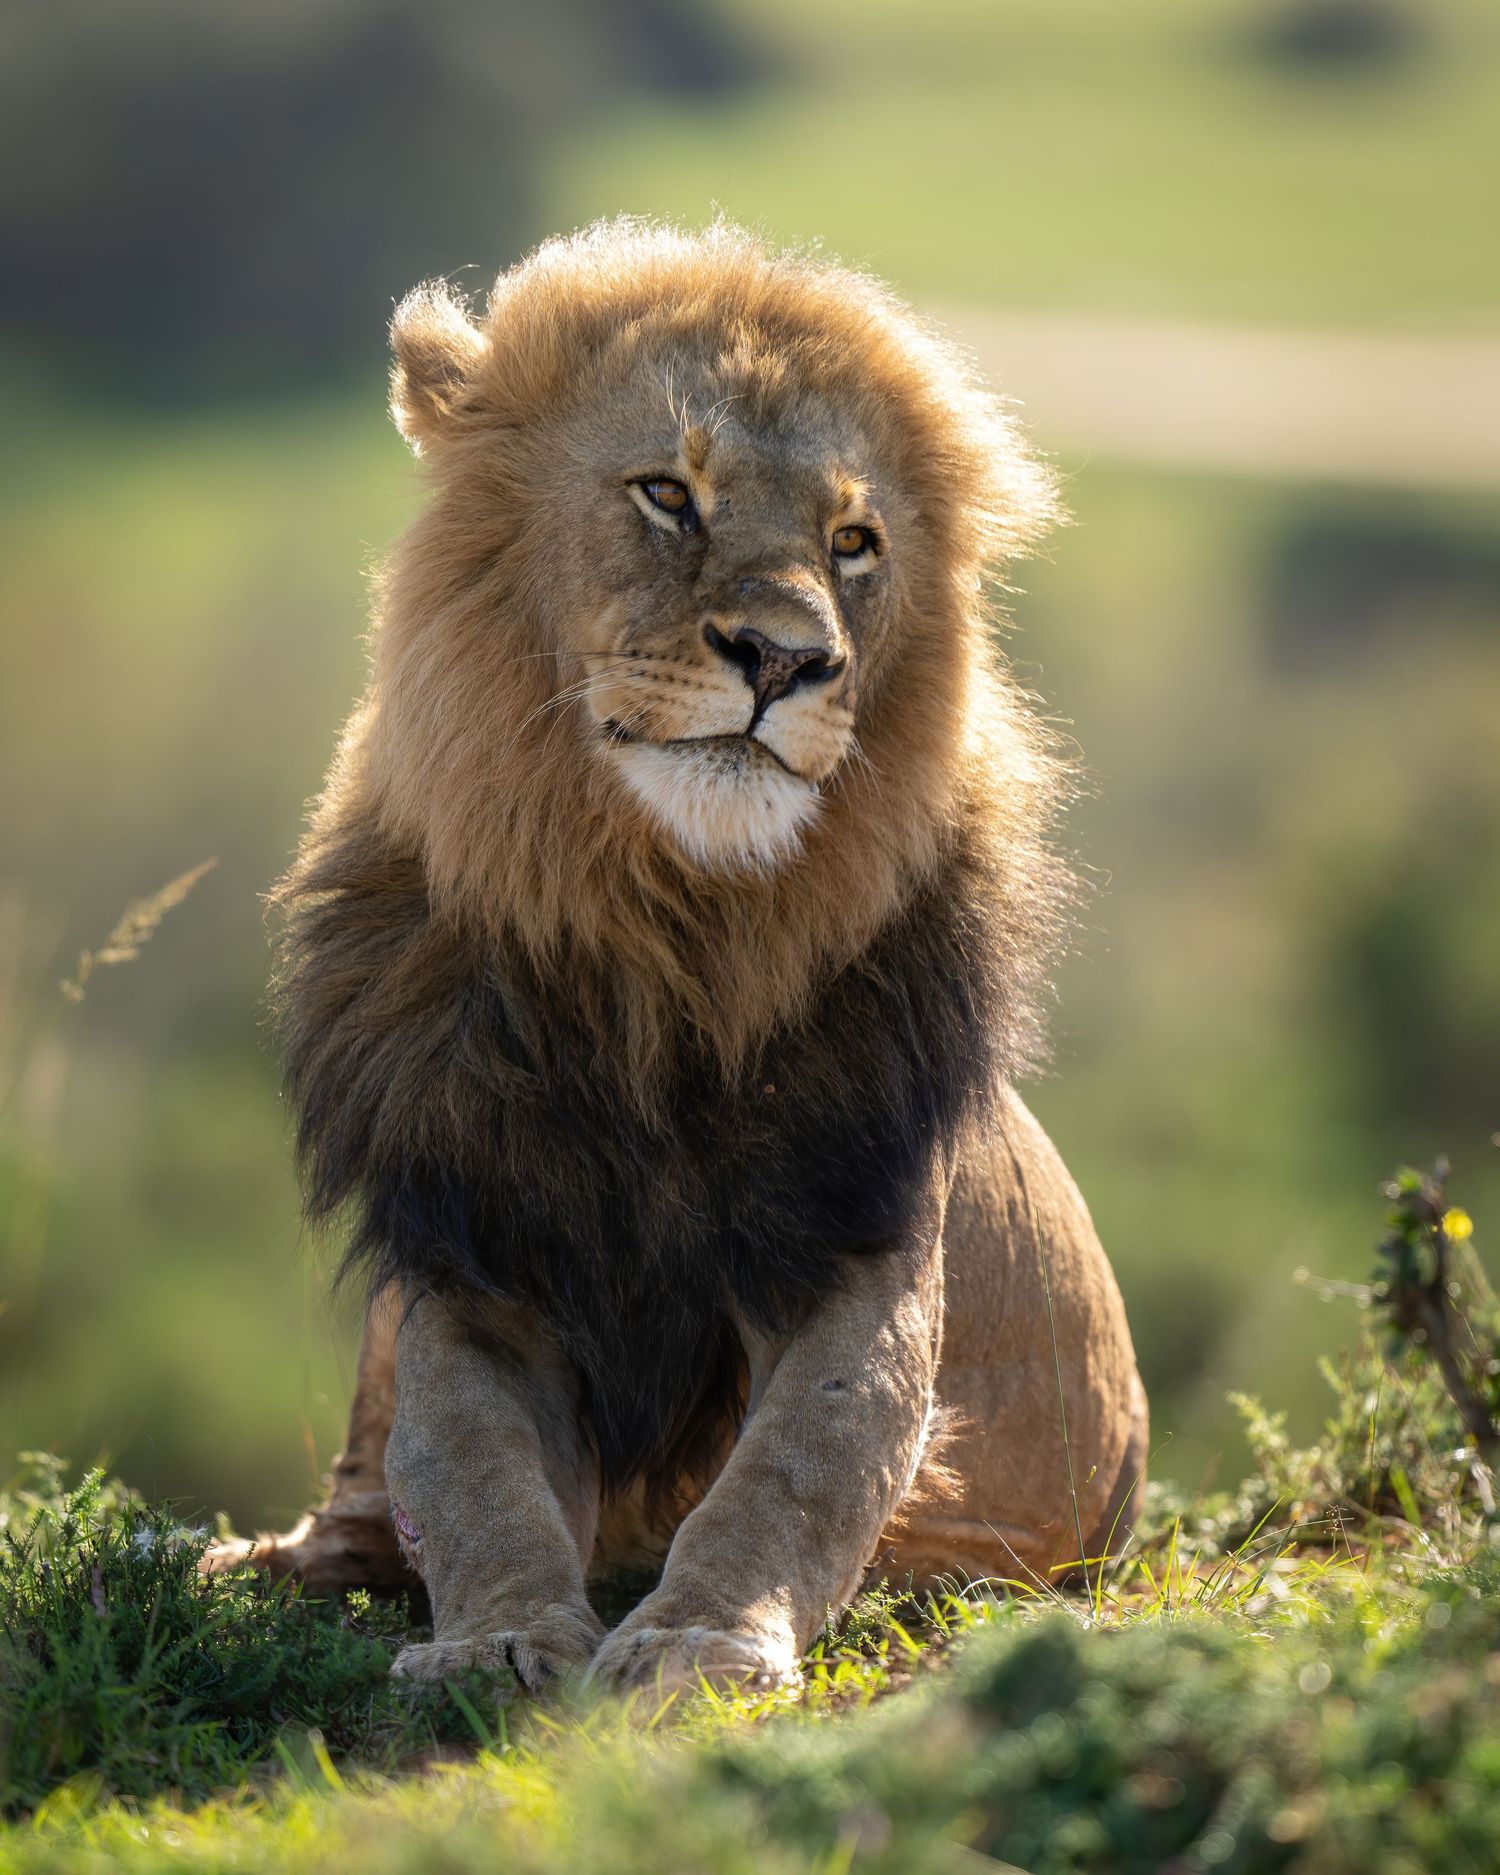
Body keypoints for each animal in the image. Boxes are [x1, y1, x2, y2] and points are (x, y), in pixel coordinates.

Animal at [205, 220, 1148, 1694]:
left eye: (855, 541)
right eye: (666, 492)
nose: (786, 656)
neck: (664, 933)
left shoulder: (855, 1230)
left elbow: (803, 1463)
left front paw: (699, 1638)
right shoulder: (473, 1245)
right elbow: (468, 1464)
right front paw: (500, 1638)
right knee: (366, 1487)